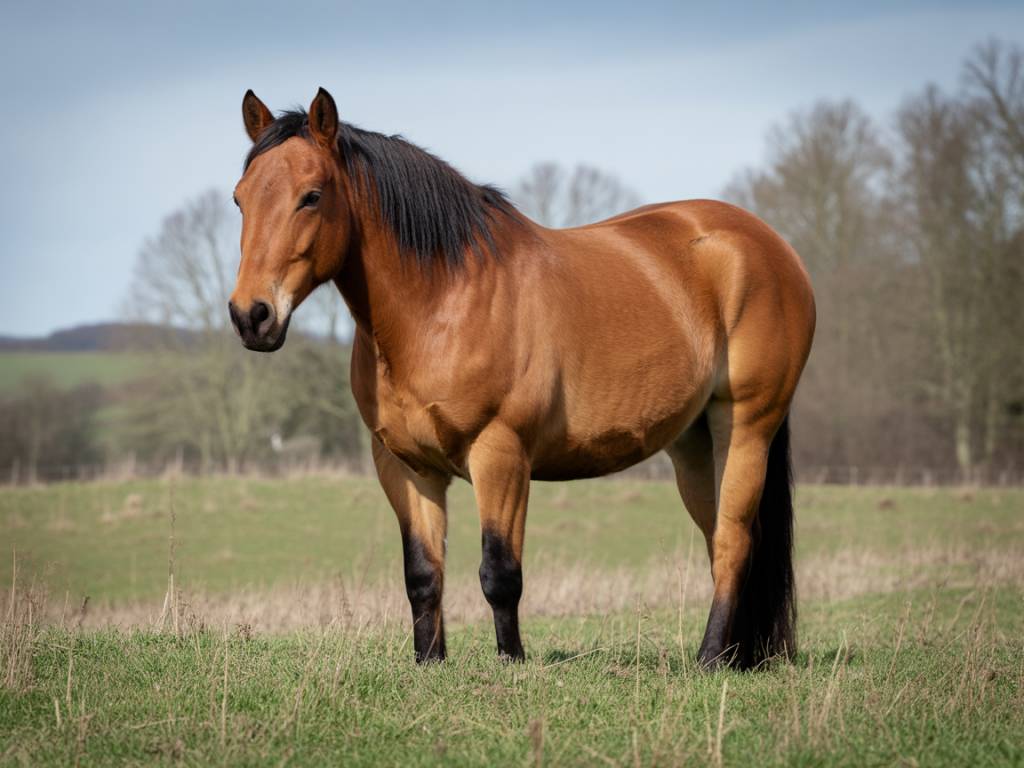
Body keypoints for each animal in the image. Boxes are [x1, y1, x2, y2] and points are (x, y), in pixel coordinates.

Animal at [229, 88, 815, 669]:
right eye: (240, 199)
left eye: (311, 196)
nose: (251, 315)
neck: (443, 302)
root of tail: (768, 246)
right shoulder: (405, 466)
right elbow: (422, 574)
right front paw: (429, 662)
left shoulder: (501, 454)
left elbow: (500, 573)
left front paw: (511, 661)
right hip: (693, 445)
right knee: (721, 539)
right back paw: (736, 655)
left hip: (745, 428)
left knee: (734, 543)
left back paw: (711, 659)